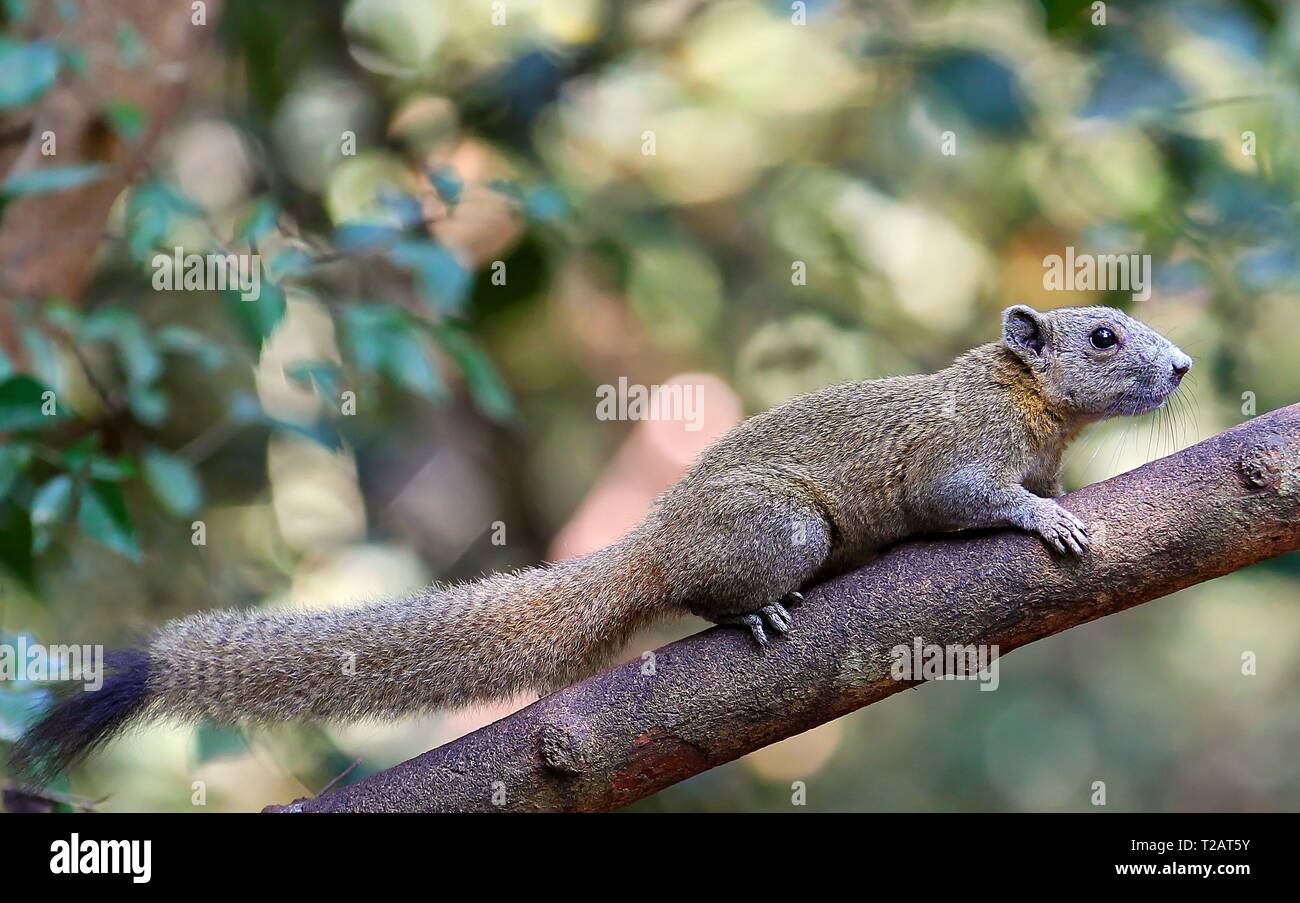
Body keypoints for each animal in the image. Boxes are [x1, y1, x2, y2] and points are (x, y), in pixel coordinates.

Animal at [13, 304, 1192, 779]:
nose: (1182, 367)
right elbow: (967, 498)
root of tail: (652, 542)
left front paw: (1063, 491)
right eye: (1102, 335)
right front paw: (1043, 515)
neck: (1030, 405)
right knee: (712, 591)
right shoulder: (957, 453)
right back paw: (754, 607)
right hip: (780, 525)